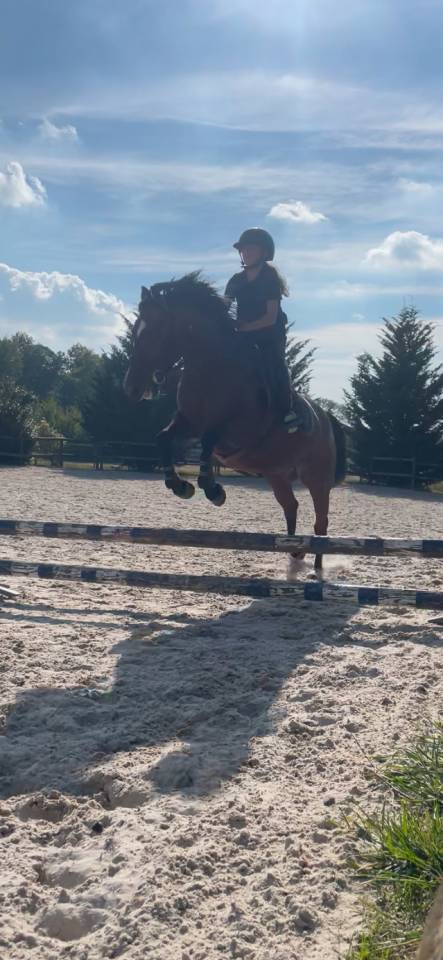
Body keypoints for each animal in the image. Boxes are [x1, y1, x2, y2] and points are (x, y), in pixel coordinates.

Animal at [123, 273, 346, 572]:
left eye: (155, 332)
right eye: (137, 330)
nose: (131, 388)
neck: (211, 365)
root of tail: (326, 419)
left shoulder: (234, 430)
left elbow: (209, 441)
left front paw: (213, 490)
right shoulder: (188, 423)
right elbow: (164, 438)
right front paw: (180, 486)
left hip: (317, 478)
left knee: (321, 521)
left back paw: (317, 566)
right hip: (276, 474)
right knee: (291, 506)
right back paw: (294, 552)